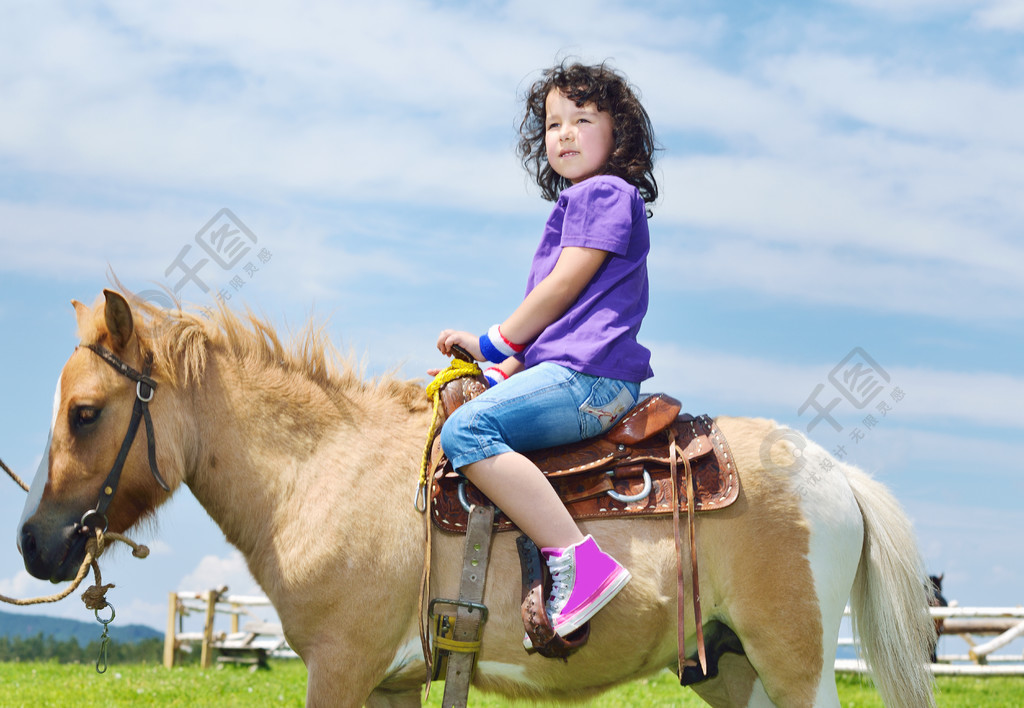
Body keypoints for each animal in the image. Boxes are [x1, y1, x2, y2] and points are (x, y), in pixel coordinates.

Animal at [16, 290, 937, 704]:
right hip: (726, 668)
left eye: (85, 412)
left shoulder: (342, 669)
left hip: (794, 668)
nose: (33, 544)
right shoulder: (392, 681)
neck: (324, 469)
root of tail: (835, 476)